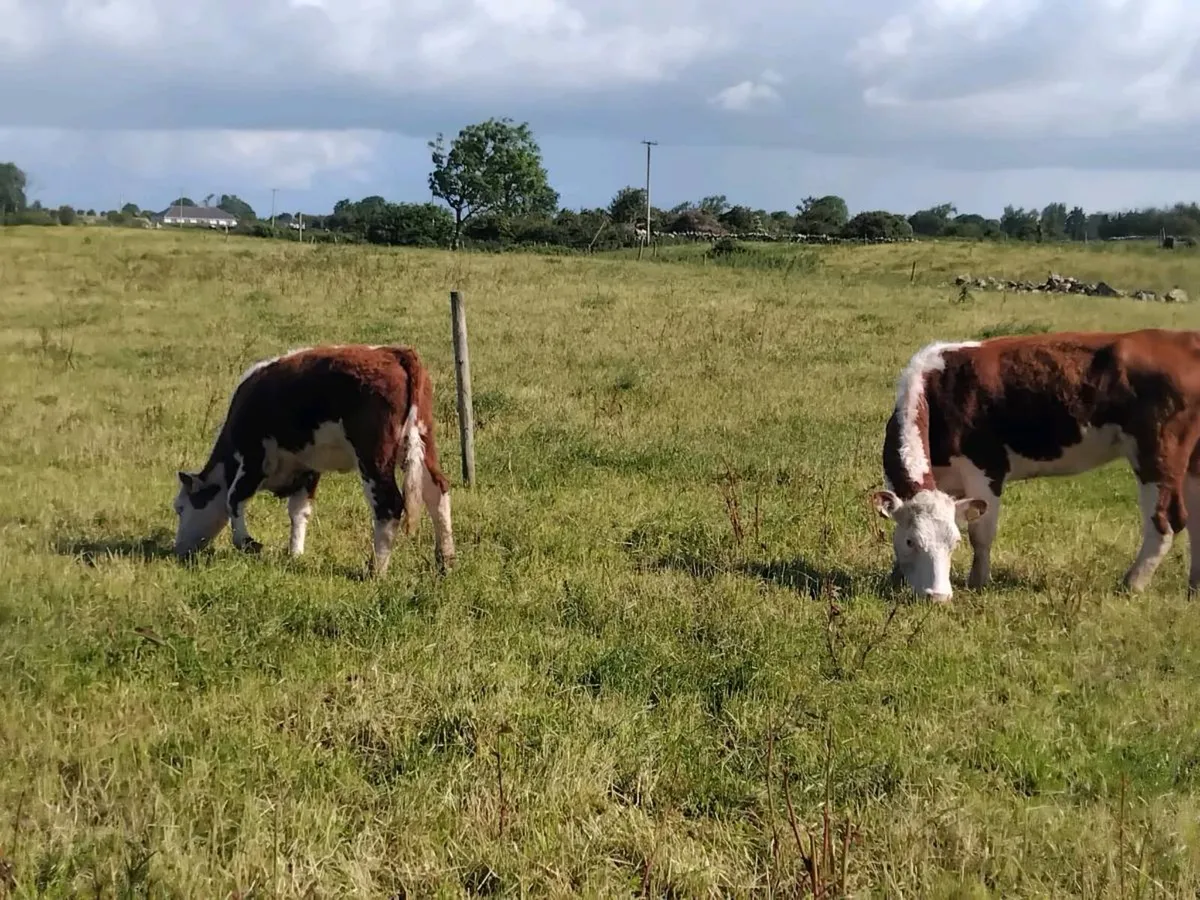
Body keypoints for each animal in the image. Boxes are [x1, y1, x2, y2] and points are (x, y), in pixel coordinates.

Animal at [172, 343, 455, 576]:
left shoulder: (253, 456)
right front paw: (295, 553)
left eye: (181, 508)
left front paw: (247, 543)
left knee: (388, 504)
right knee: (436, 490)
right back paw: (445, 561)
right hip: (422, 440)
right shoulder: (307, 466)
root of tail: (394, 353)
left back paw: (376, 570)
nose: (178, 551)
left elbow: (234, 498)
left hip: (374, 456)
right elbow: (299, 510)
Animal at [870, 329, 1200, 602]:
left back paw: (1132, 582)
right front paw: (896, 577)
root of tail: (1184, 338)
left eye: (954, 542)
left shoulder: (986, 469)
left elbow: (981, 533)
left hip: (1157, 454)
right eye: (911, 541)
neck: (939, 388)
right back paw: (1194, 587)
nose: (938, 596)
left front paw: (978, 581)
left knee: (1165, 521)